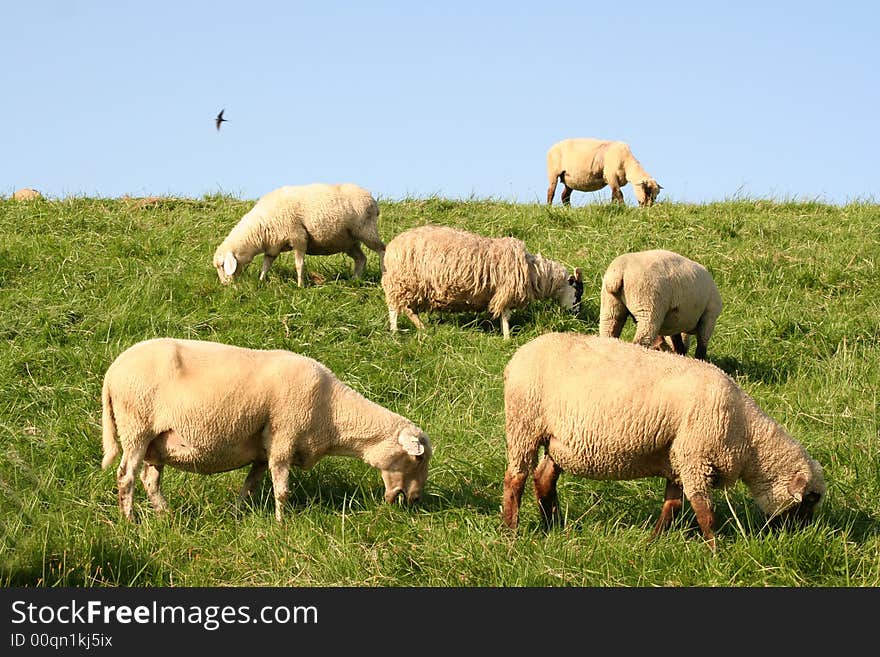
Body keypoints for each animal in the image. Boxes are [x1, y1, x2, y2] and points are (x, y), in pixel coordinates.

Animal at [99, 336, 430, 520]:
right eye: (418, 459)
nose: (415, 500)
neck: (332, 413)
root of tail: (112, 372)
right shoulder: (284, 437)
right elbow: (282, 489)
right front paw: (282, 525)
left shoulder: (263, 449)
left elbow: (250, 486)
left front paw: (236, 515)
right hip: (136, 427)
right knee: (126, 477)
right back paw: (130, 521)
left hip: (157, 442)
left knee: (150, 480)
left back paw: (165, 516)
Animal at [213, 183, 384, 288]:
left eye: (222, 266)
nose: (224, 285)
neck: (259, 227)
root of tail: (373, 201)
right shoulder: (273, 246)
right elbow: (266, 264)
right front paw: (261, 280)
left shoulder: (298, 237)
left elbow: (299, 264)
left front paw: (300, 285)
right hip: (348, 241)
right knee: (361, 258)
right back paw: (355, 280)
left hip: (366, 230)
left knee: (382, 249)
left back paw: (384, 271)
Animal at [380, 224, 580, 340]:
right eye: (578, 293)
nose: (576, 315)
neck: (535, 273)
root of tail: (391, 248)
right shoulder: (505, 292)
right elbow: (506, 316)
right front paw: (507, 338)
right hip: (401, 282)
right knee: (395, 309)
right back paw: (395, 332)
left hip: (410, 286)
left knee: (408, 310)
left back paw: (422, 328)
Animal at [502, 334, 824, 548]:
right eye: (811, 498)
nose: (802, 535)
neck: (747, 437)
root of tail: (518, 356)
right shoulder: (695, 459)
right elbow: (704, 512)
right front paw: (716, 551)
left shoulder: (678, 461)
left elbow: (672, 506)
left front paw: (652, 542)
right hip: (523, 423)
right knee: (515, 478)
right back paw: (512, 531)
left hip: (558, 441)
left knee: (544, 477)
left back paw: (552, 526)